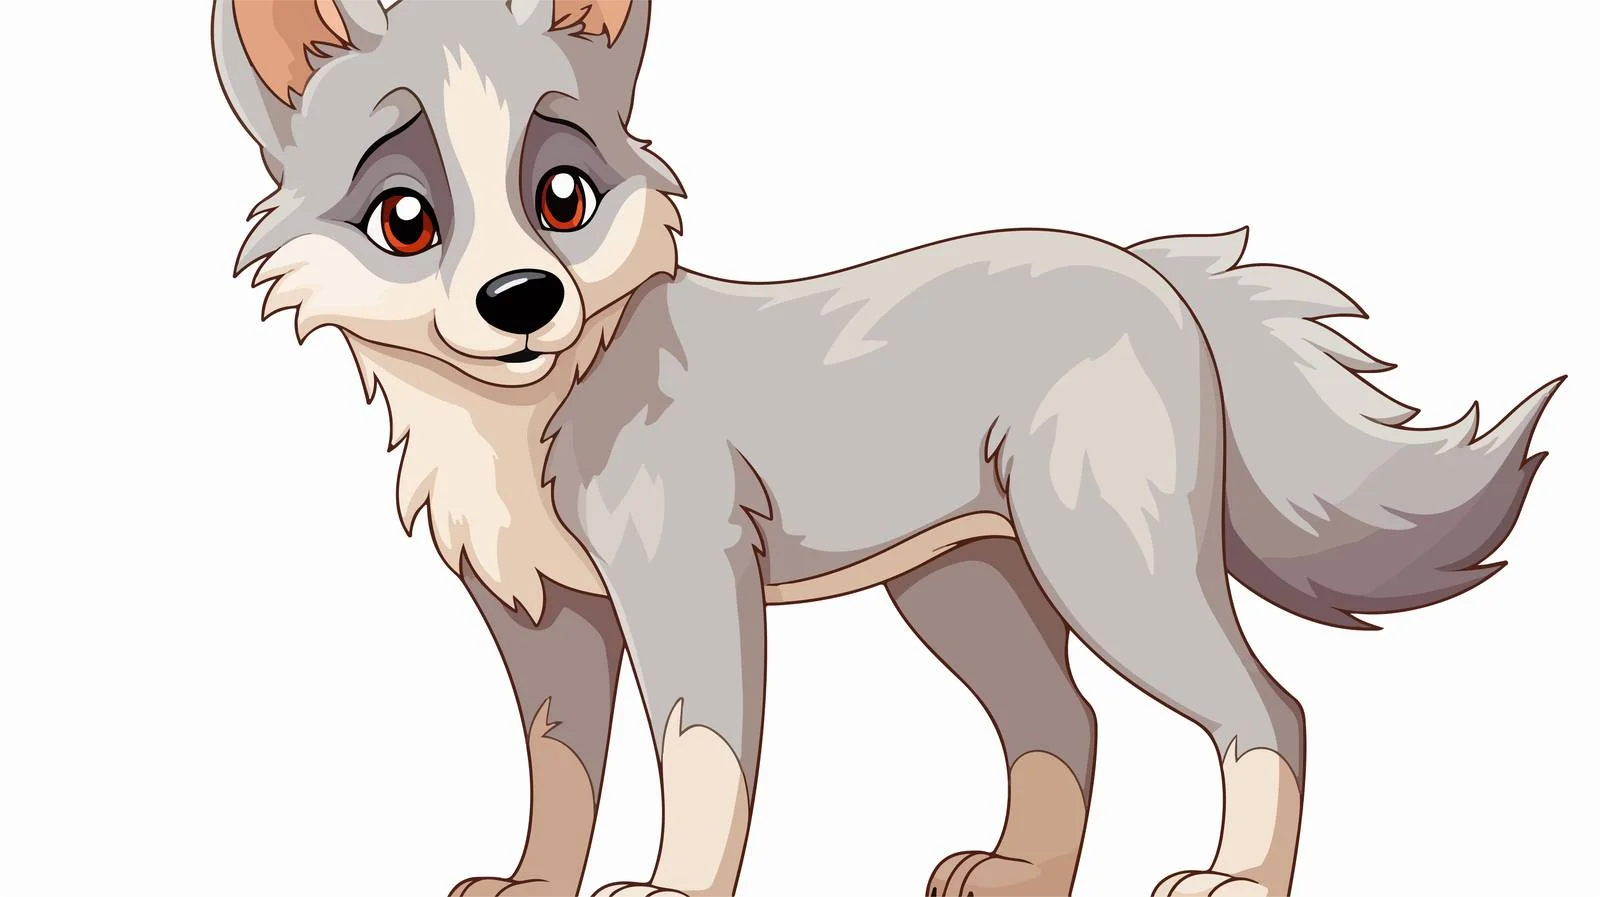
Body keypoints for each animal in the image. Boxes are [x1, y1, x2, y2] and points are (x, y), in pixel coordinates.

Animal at [212, 2, 1560, 895]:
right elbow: (562, 775)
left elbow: (698, 759)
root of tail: (1152, 272)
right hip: (964, 590)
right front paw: (534, 890)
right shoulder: (546, 620)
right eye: (406, 219)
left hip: (1103, 567)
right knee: (1066, 726)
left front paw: (667, 889)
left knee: (1268, 708)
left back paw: (1233, 882)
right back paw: (1021, 875)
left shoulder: (686, 584)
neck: (535, 414)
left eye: (562, 198)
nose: (522, 300)